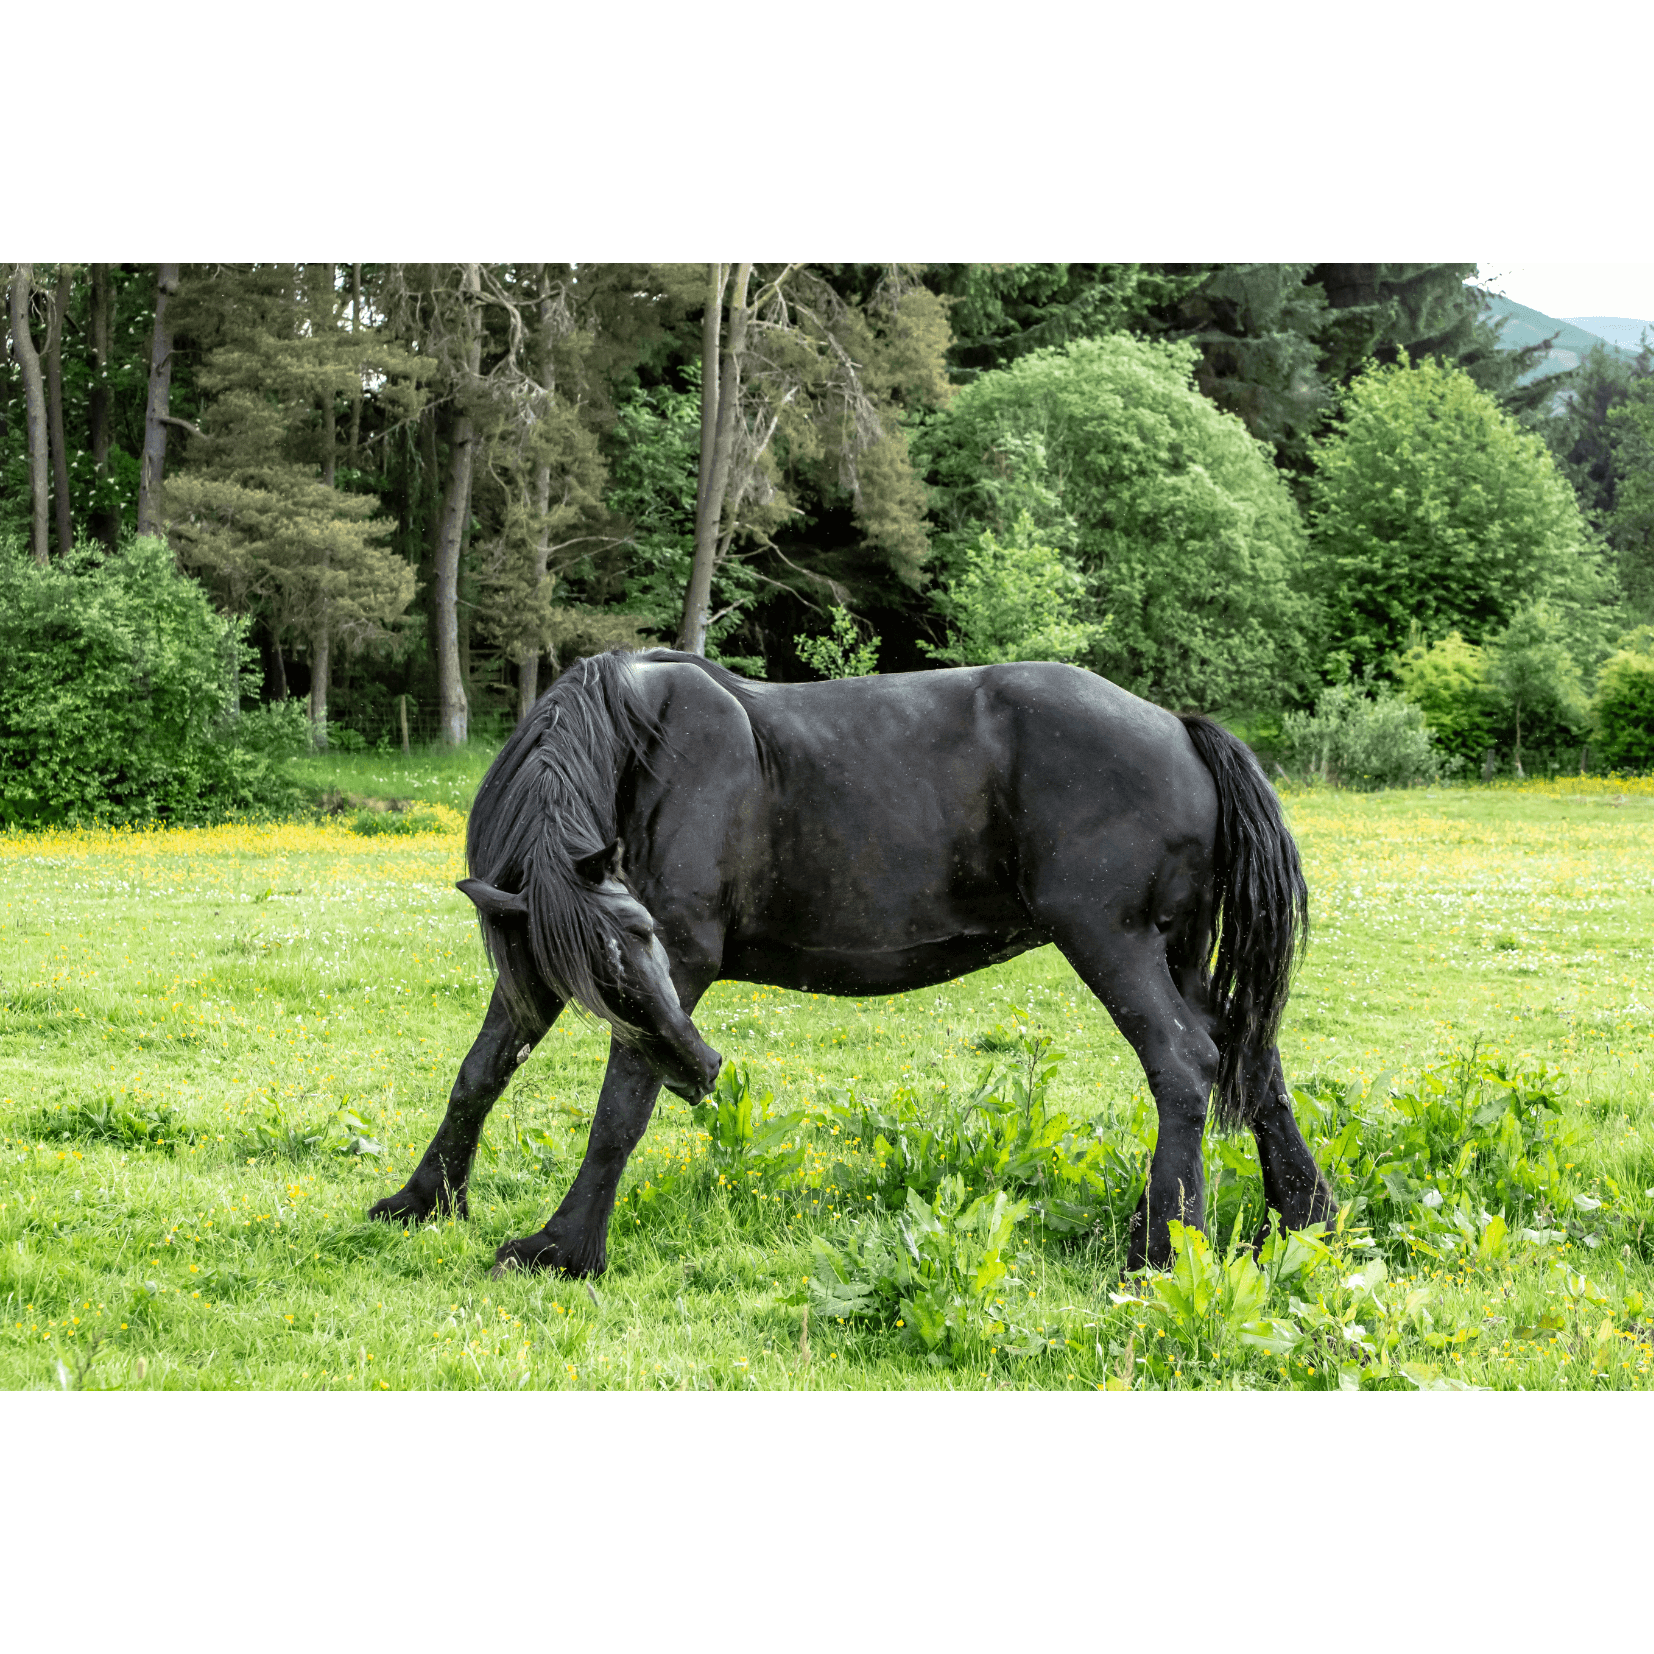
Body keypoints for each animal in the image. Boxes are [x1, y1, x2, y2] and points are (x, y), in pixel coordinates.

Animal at [367, 648, 1334, 1275]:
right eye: (602, 974)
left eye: (645, 939)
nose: (705, 1068)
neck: (639, 748)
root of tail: (1178, 727)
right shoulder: (535, 969)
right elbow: (478, 1076)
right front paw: (422, 1200)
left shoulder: (681, 965)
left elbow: (619, 1111)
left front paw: (565, 1248)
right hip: (1175, 951)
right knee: (1247, 1056)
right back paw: (1298, 1218)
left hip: (1114, 941)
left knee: (1185, 1063)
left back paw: (1163, 1249)